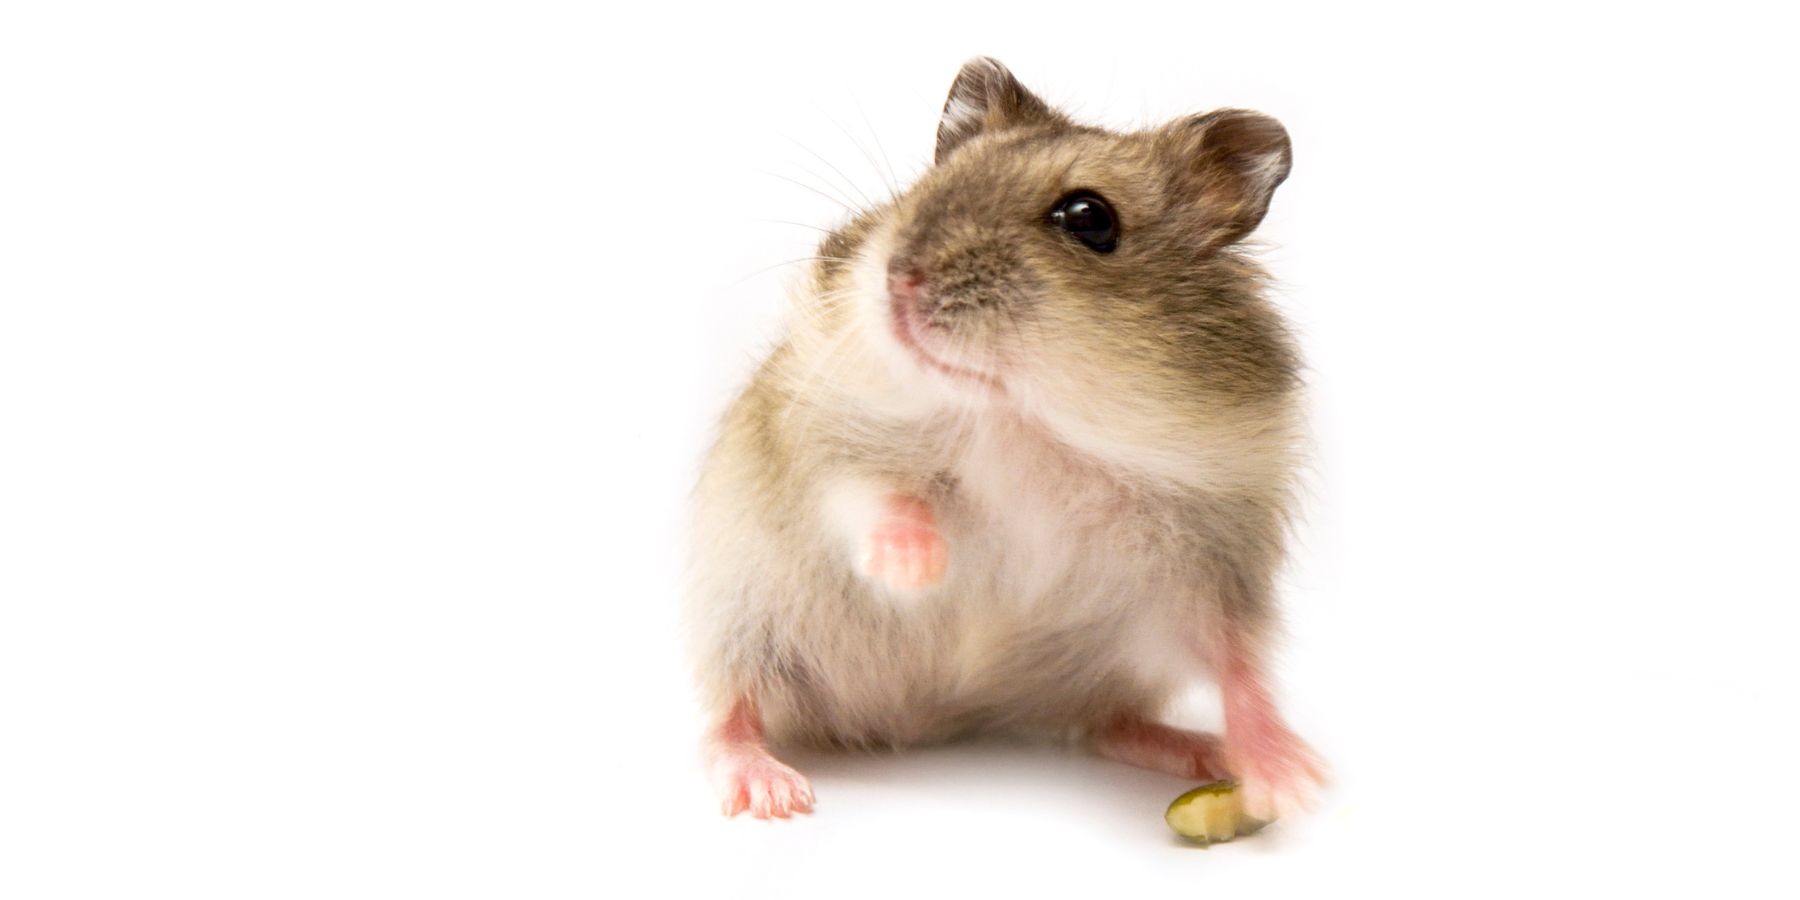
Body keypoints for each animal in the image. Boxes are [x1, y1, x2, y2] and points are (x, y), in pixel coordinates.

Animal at [687, 57, 1324, 821]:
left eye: (1090, 219)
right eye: (929, 185)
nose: (898, 279)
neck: (1022, 419)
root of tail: (919, 721)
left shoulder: (1215, 556)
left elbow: (1237, 661)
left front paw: (1296, 784)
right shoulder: (816, 435)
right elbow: (869, 495)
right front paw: (918, 570)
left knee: (1104, 724)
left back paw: (1196, 750)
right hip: (740, 620)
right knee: (731, 713)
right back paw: (769, 790)